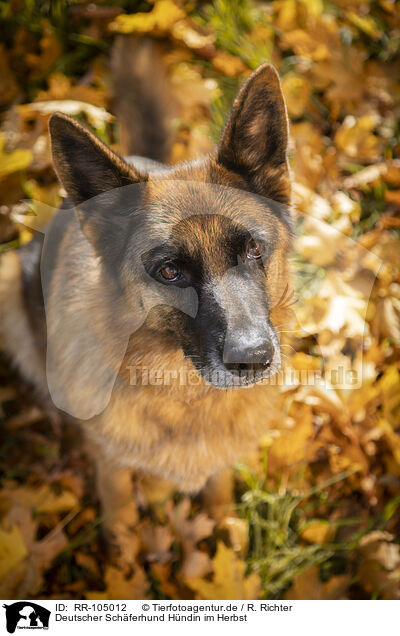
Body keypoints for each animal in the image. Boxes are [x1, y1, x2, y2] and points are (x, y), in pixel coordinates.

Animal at [0, 41, 294, 560]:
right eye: (169, 271)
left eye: (254, 248)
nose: (253, 358)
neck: (185, 396)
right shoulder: (110, 458)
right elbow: (118, 501)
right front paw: (122, 556)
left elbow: (218, 487)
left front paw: (222, 524)